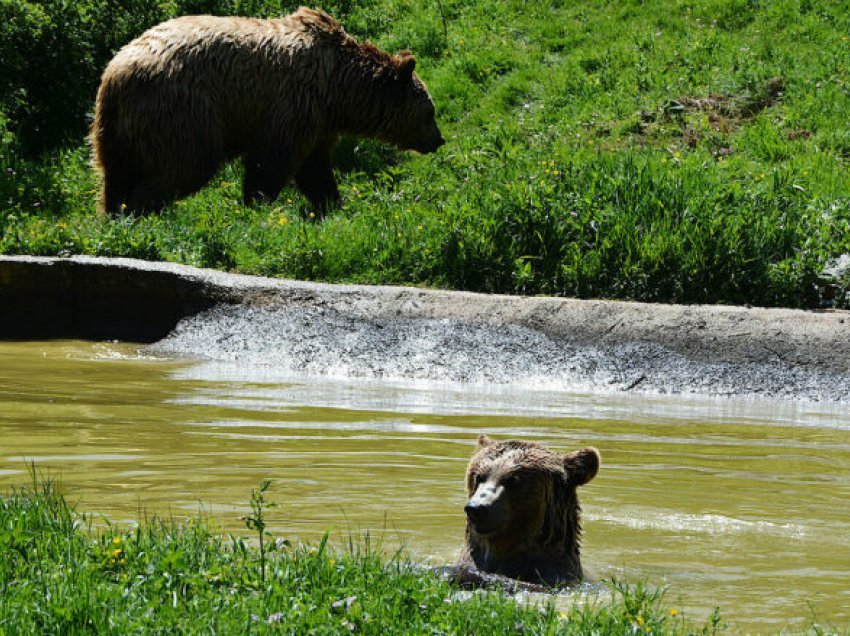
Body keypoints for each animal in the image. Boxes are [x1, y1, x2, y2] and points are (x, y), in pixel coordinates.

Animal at [89, 6, 444, 216]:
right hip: (183, 111)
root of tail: (116, 73)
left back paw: (115, 214)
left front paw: (333, 205)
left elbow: (315, 169)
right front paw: (256, 205)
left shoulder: (318, 123)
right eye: (429, 112)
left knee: (116, 178)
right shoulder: (293, 106)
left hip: (115, 131)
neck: (339, 91)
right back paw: (143, 211)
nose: (438, 140)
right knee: (186, 164)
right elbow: (272, 162)